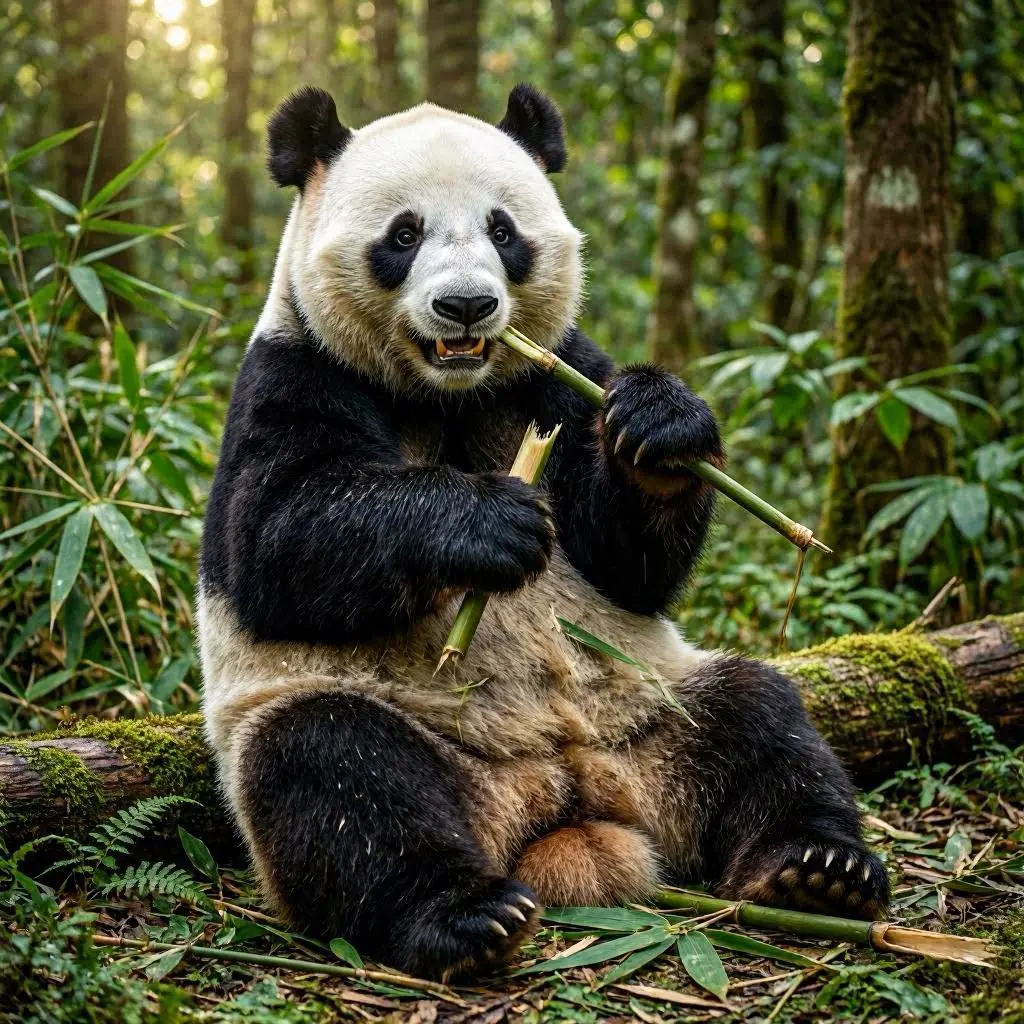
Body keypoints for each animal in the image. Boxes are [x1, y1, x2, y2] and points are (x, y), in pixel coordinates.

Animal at [198, 83, 888, 981]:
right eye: (403, 234)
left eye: (503, 231)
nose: (467, 305)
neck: (449, 391)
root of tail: (563, 796)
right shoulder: (295, 368)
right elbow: (274, 541)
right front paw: (489, 522)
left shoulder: (556, 370)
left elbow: (628, 561)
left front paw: (660, 427)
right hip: (386, 724)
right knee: (335, 773)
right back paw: (468, 916)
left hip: (652, 708)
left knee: (761, 722)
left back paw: (818, 869)